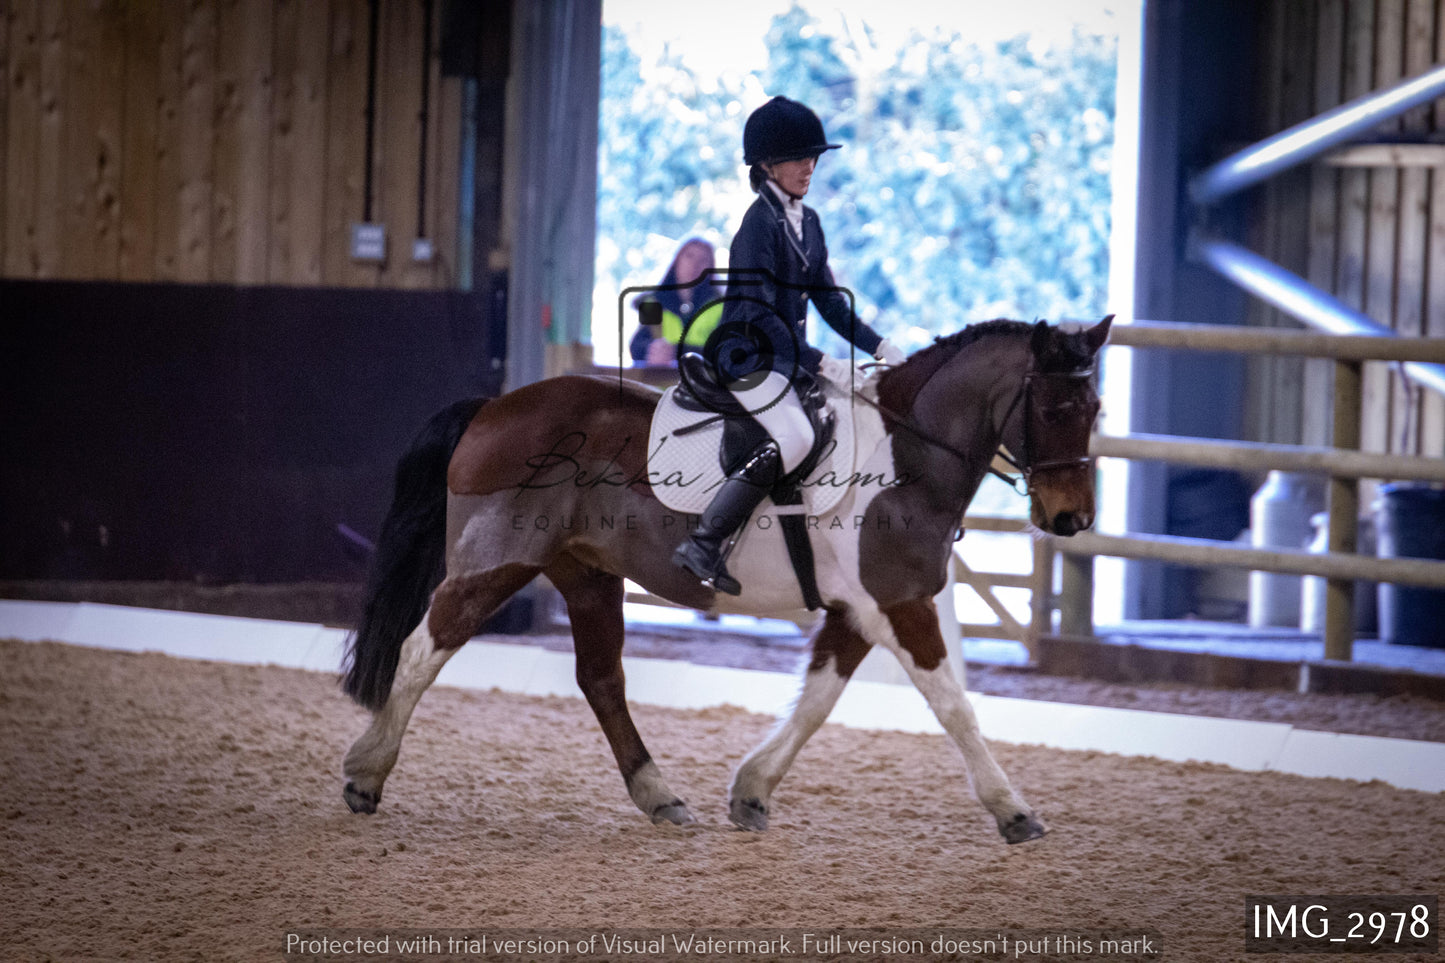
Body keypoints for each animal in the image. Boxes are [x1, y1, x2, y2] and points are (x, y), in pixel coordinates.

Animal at [338, 315, 1103, 838]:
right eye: (1053, 409)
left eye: (1094, 409)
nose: (1071, 518)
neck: (904, 453)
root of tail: (495, 405)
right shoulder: (899, 603)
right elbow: (953, 706)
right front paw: (1013, 811)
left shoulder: (859, 610)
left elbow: (817, 700)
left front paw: (752, 790)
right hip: (497, 562)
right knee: (421, 649)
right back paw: (365, 773)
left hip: (587, 575)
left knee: (601, 680)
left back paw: (660, 796)